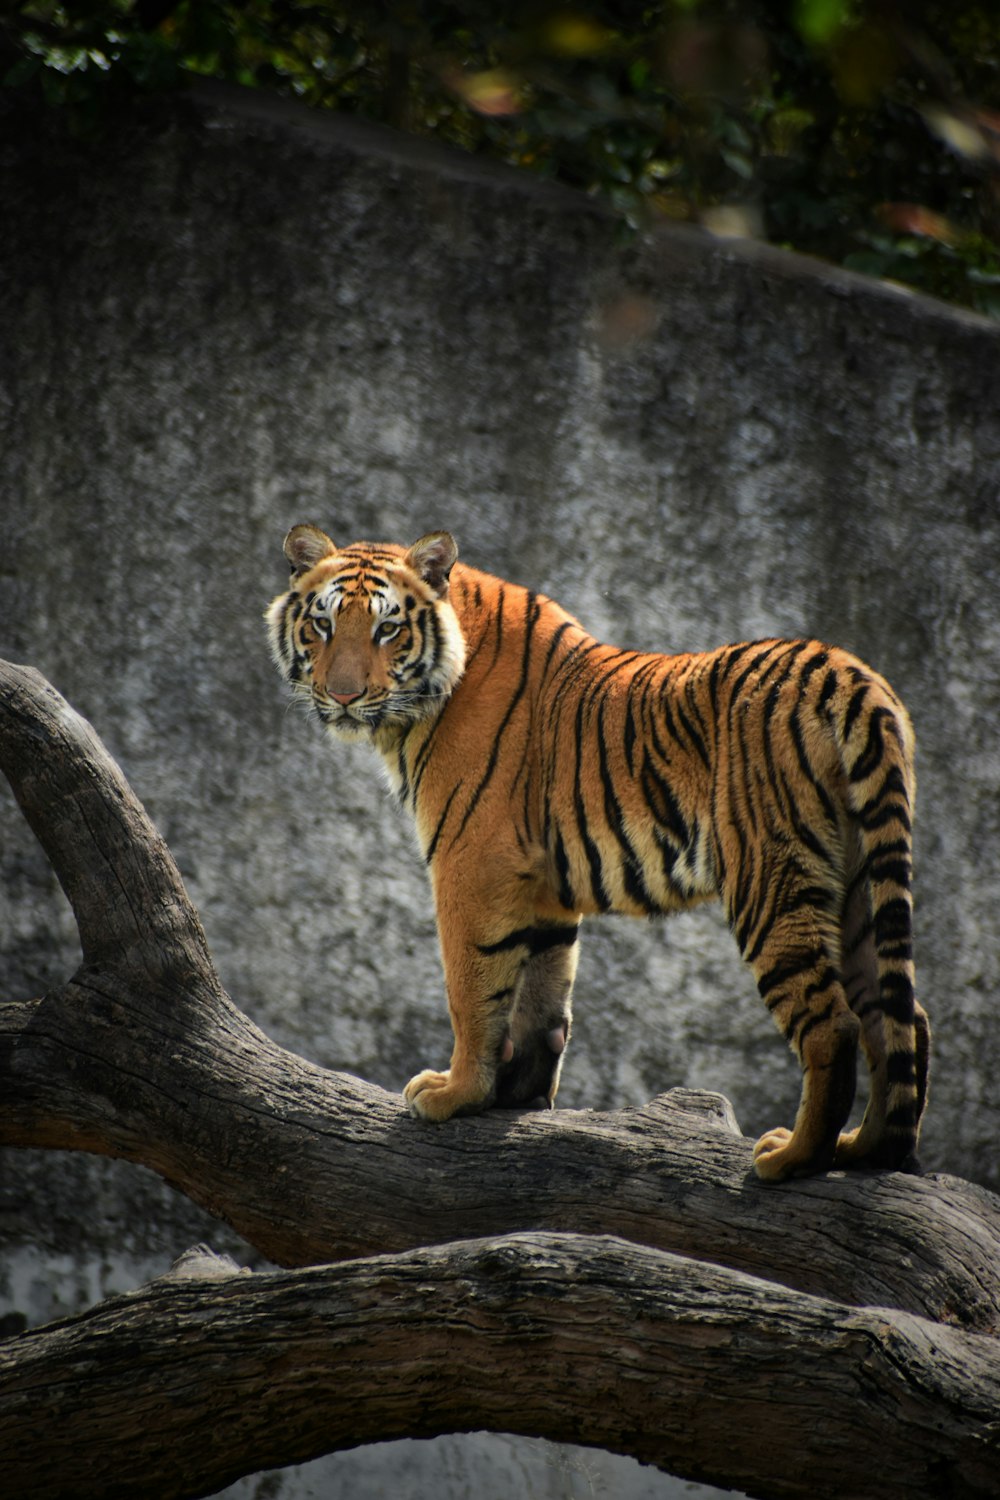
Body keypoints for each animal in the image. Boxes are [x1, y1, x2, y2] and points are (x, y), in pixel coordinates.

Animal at [268, 528, 929, 1182]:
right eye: (324, 624)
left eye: (387, 629)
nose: (344, 695)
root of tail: (848, 674)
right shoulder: (540, 884)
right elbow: (541, 993)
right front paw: (517, 1095)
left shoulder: (471, 863)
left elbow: (472, 987)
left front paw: (455, 1094)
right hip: (859, 885)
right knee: (900, 1019)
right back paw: (865, 1150)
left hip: (770, 880)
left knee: (834, 1025)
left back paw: (791, 1159)